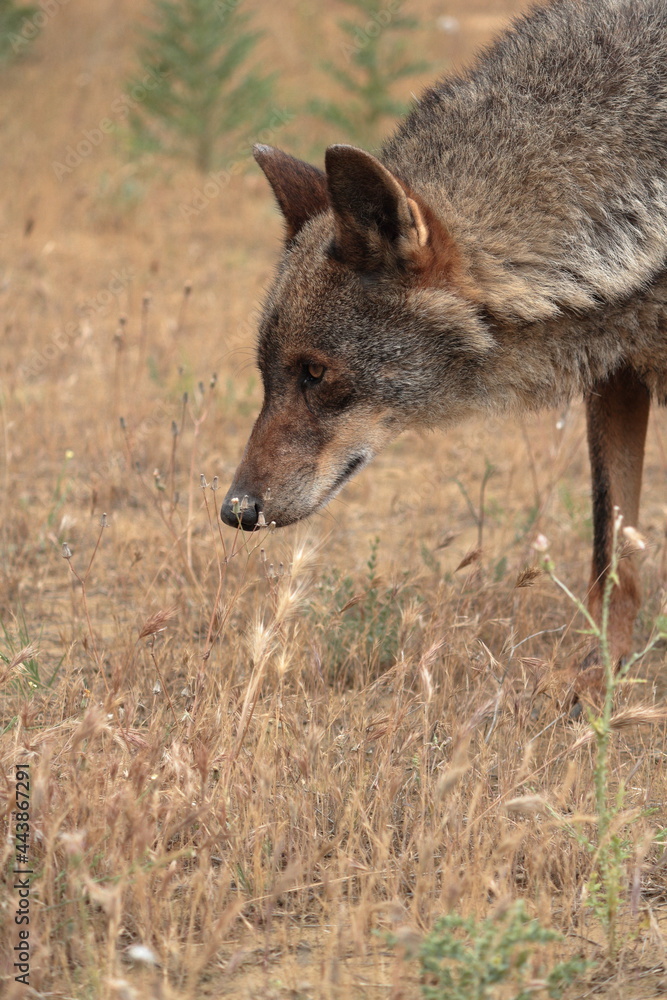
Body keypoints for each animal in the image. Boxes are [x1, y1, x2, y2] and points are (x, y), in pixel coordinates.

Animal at [221, 0, 667, 670]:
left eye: (316, 373)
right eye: (267, 376)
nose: (235, 509)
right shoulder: (616, 377)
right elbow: (613, 561)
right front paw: (598, 685)